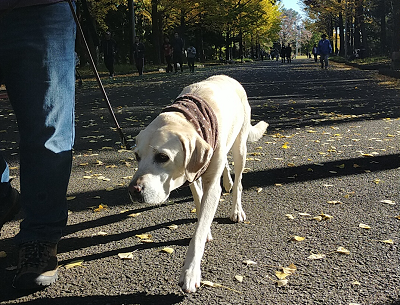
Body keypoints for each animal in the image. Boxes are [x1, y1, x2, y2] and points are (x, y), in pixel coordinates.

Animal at [130, 74, 268, 292]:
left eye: (162, 157)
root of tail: (228, 77)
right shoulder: (193, 175)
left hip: (240, 146)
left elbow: (199, 230)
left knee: (238, 181)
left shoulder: (211, 184)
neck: (190, 117)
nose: (133, 190)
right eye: (137, 156)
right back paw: (227, 181)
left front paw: (190, 271)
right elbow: (199, 202)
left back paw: (236, 208)